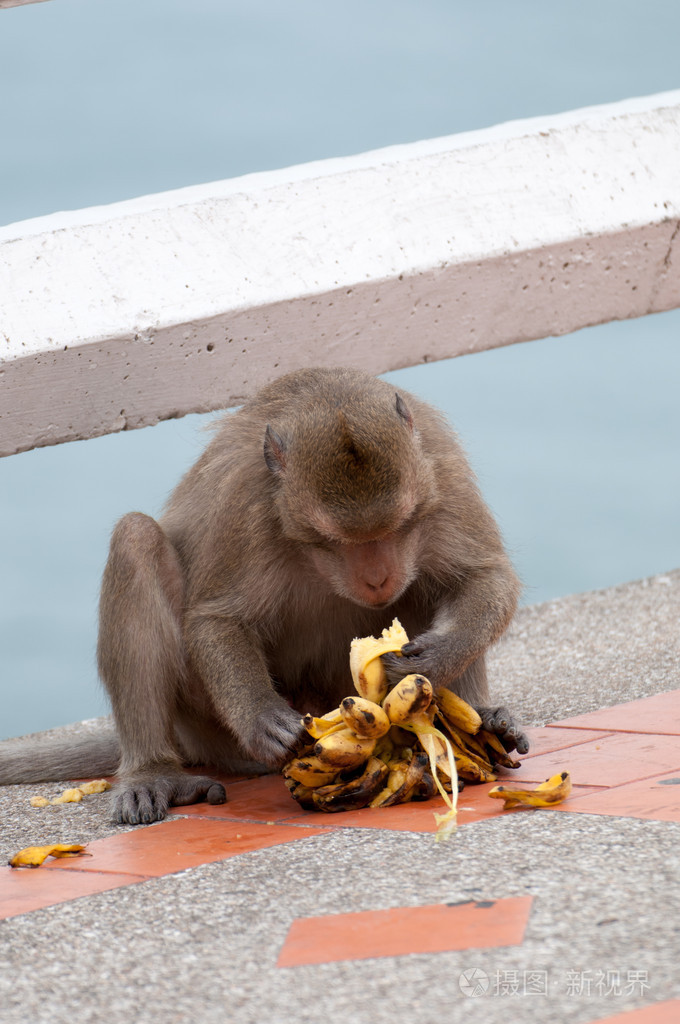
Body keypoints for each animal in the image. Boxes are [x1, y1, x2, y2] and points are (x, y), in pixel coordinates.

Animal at [0, 368, 524, 823]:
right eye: (331, 540)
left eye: (402, 524)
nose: (377, 579)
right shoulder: (246, 505)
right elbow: (217, 620)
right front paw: (260, 716)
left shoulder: (439, 469)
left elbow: (484, 577)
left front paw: (436, 657)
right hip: (207, 726)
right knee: (136, 538)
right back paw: (153, 771)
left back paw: (484, 720)